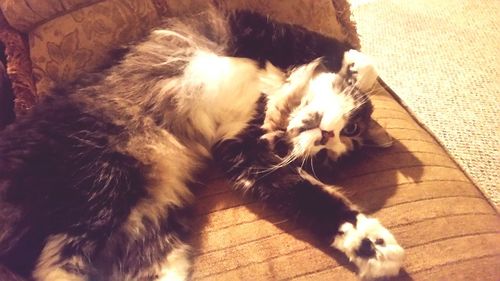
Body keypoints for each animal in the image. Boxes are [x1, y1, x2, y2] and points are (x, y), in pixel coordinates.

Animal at [0, 6, 404, 280]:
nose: (325, 137)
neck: (272, 96)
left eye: (327, 159)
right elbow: (334, 46)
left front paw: (371, 245)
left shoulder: (245, 155)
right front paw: (355, 70)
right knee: (52, 260)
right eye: (350, 130)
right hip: (102, 180)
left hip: (149, 235)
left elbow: (314, 199)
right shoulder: (246, 23)